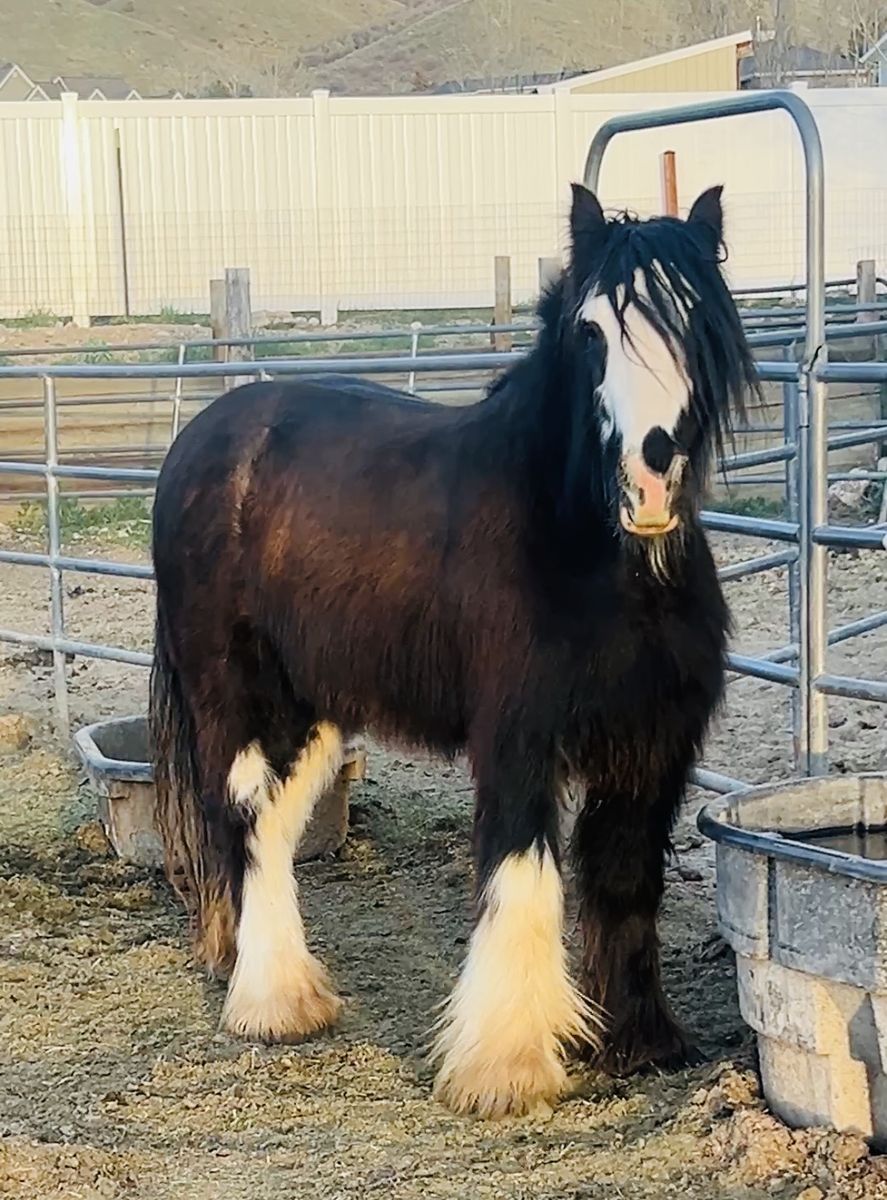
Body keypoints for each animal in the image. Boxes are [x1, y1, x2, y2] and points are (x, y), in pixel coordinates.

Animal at [149, 181, 757, 1120]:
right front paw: (504, 1068)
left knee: (275, 828)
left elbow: (626, 881)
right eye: (590, 332)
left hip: (311, 706)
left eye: (698, 321)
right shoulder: (517, 738)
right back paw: (272, 1003)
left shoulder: (651, 744)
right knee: (242, 817)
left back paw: (281, 982)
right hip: (234, 696)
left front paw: (640, 1045)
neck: (590, 556)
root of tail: (198, 441)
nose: (650, 479)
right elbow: (520, 879)